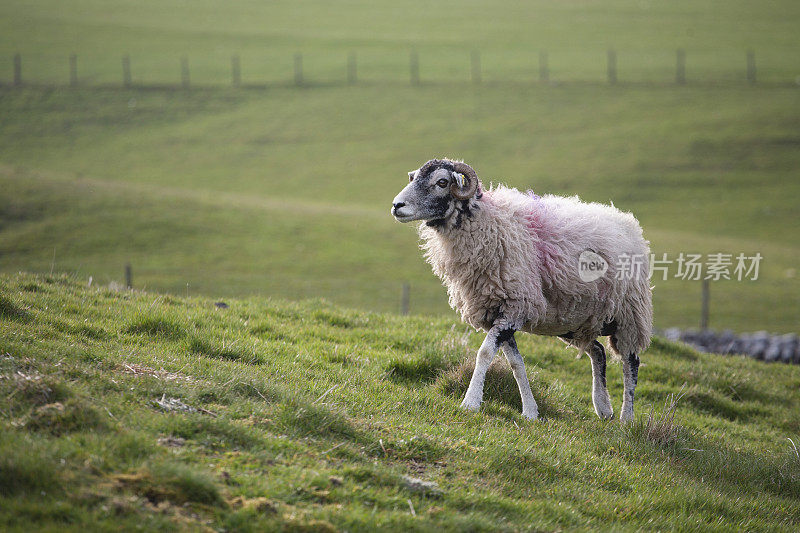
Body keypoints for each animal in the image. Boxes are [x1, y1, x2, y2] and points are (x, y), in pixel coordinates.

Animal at [390, 158, 652, 420]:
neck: (489, 224)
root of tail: (629, 224)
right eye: (414, 177)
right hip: (575, 319)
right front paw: (530, 412)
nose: (396, 205)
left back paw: (626, 418)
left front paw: (470, 402)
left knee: (630, 361)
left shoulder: (514, 307)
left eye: (442, 182)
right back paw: (603, 408)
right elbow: (516, 363)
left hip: (629, 314)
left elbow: (484, 354)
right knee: (598, 351)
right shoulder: (496, 313)